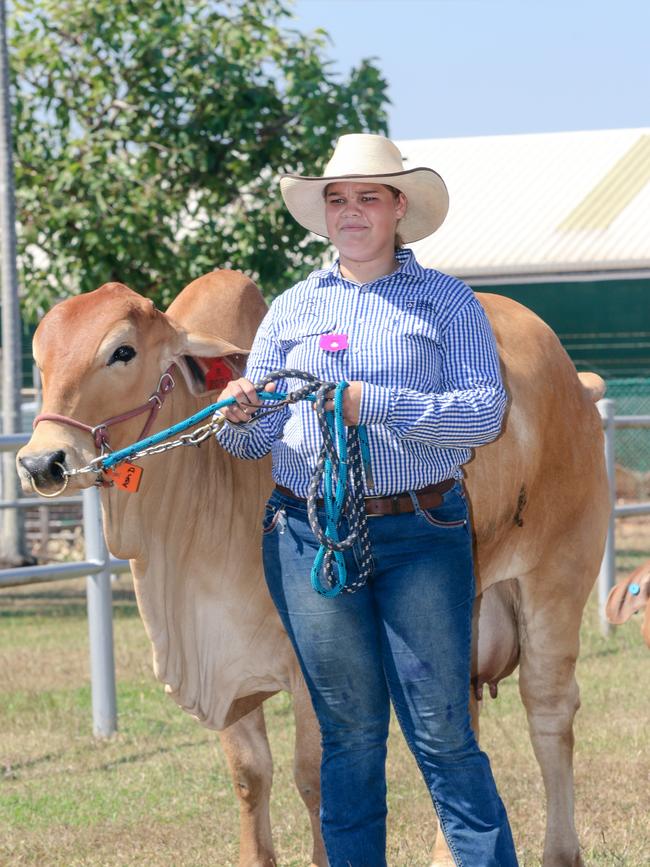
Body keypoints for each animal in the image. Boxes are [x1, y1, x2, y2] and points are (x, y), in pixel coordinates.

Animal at [16, 272, 608, 867]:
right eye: (40, 358)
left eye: (122, 351)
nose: (42, 462)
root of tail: (575, 380)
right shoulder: (226, 664)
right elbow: (249, 775)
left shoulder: (310, 667)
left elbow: (314, 778)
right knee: (456, 720)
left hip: (556, 578)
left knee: (550, 710)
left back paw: (561, 850)